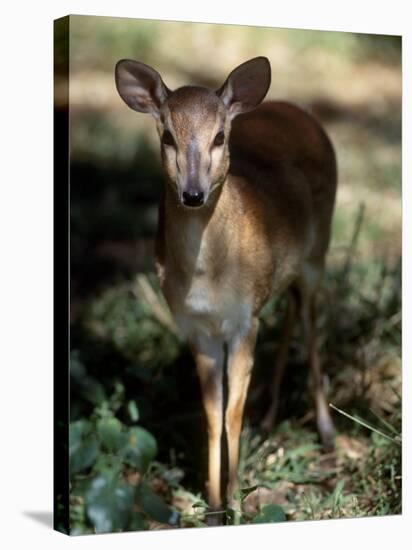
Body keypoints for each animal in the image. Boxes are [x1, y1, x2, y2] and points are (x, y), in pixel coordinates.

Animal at [114, 56, 336, 520]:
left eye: (219, 137)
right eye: (167, 135)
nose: (193, 194)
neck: (210, 275)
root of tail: (299, 111)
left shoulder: (241, 319)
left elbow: (233, 414)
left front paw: (236, 500)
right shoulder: (197, 327)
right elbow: (213, 414)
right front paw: (214, 505)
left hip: (318, 254)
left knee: (310, 323)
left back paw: (327, 433)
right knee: (291, 311)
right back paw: (268, 421)